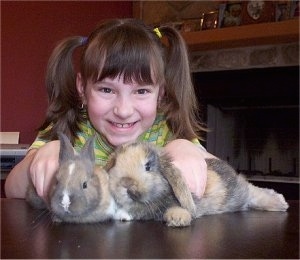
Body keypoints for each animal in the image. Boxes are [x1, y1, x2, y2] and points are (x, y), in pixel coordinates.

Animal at [106, 141, 290, 226]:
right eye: (115, 163)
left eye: (148, 166)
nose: (126, 185)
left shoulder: (158, 206)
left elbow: (144, 212)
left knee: (255, 192)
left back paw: (280, 203)